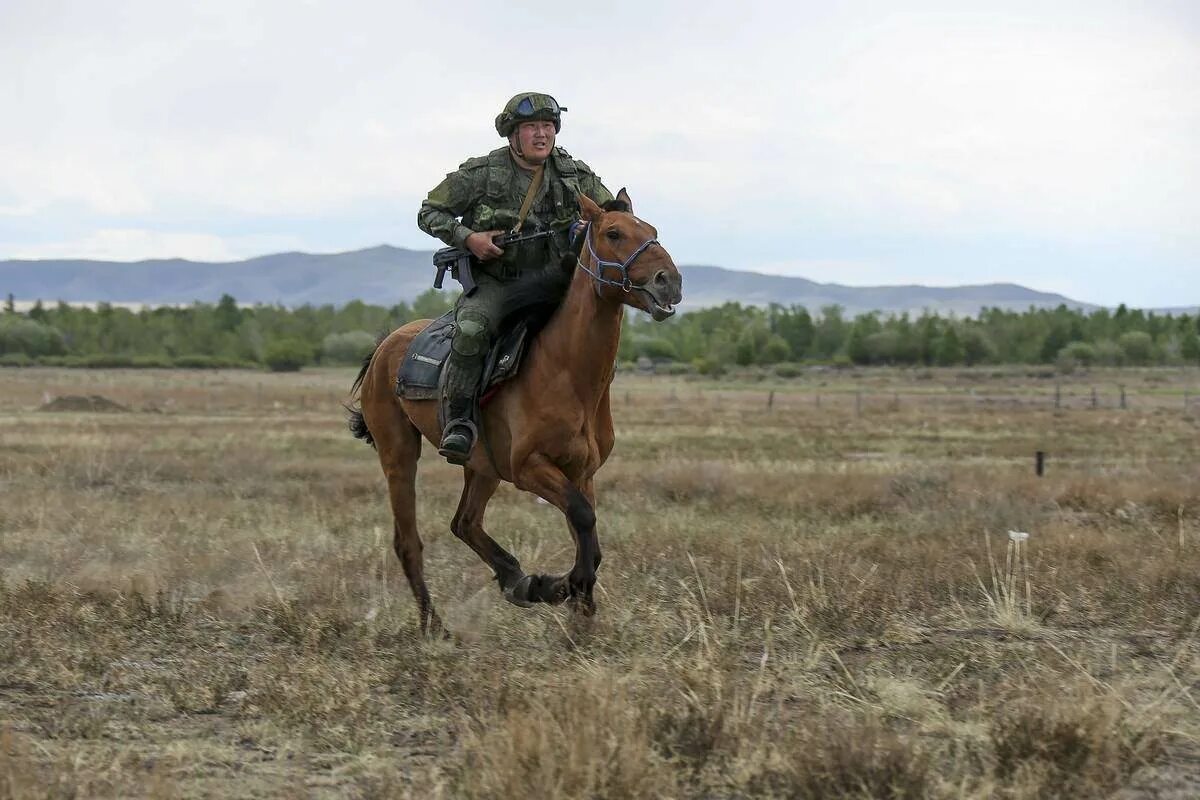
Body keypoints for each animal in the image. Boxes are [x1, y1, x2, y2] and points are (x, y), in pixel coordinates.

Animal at [348, 189, 686, 633]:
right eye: (613, 233)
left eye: (652, 230)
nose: (670, 282)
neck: (565, 370)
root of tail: (385, 346)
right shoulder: (529, 467)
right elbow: (583, 519)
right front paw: (565, 587)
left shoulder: (581, 472)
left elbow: (588, 537)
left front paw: (578, 610)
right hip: (399, 456)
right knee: (409, 542)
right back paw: (436, 626)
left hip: (482, 466)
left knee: (465, 522)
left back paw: (516, 580)